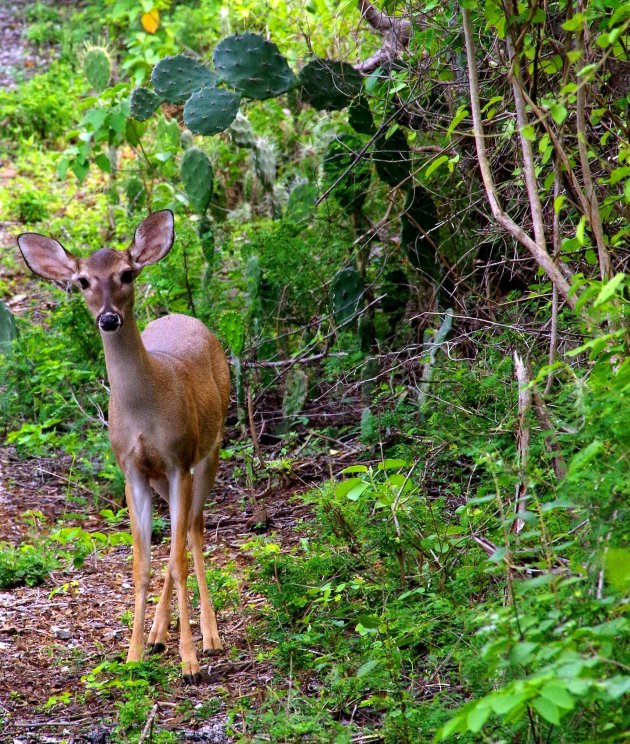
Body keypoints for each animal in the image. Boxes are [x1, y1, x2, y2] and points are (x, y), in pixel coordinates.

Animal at [16, 211, 231, 684]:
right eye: (82, 281)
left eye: (126, 274)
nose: (109, 318)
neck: (144, 412)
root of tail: (187, 317)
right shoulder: (132, 469)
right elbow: (141, 562)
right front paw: (132, 655)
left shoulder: (178, 459)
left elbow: (178, 558)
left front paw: (189, 663)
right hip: (161, 477)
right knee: (180, 535)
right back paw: (157, 636)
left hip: (211, 446)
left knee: (194, 529)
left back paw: (209, 638)